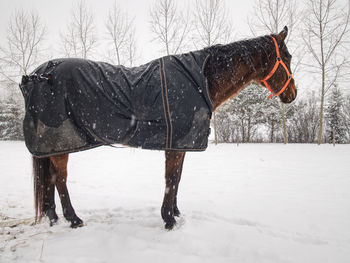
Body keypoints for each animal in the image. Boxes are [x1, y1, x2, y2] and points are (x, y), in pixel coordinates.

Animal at [20, 25, 296, 230]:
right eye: (288, 57)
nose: (292, 94)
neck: (201, 80)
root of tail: (38, 74)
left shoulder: (180, 144)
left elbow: (177, 178)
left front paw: (175, 212)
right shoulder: (176, 143)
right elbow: (171, 179)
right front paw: (168, 219)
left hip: (51, 147)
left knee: (50, 179)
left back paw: (54, 217)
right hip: (61, 143)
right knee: (60, 180)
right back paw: (73, 219)